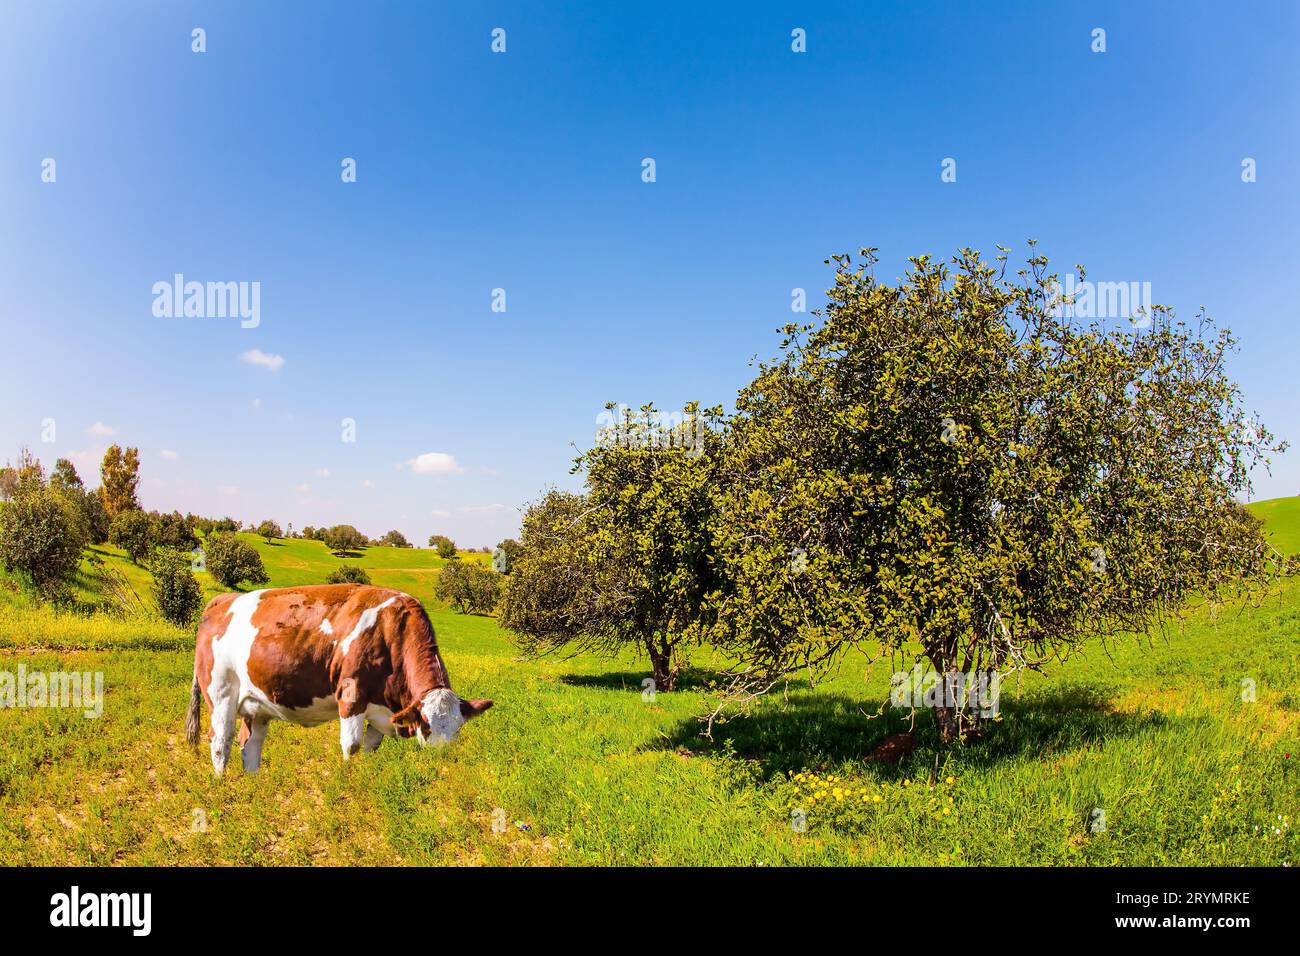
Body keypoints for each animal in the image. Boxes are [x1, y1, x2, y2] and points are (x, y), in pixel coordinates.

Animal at [180, 582, 488, 780]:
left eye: (459, 728)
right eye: (426, 726)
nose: (441, 758)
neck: (392, 630)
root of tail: (224, 600)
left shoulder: (381, 710)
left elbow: (370, 748)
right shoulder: (352, 695)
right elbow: (351, 745)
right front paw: (348, 778)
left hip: (256, 704)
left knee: (250, 742)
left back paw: (254, 783)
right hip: (220, 694)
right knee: (220, 741)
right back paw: (220, 783)